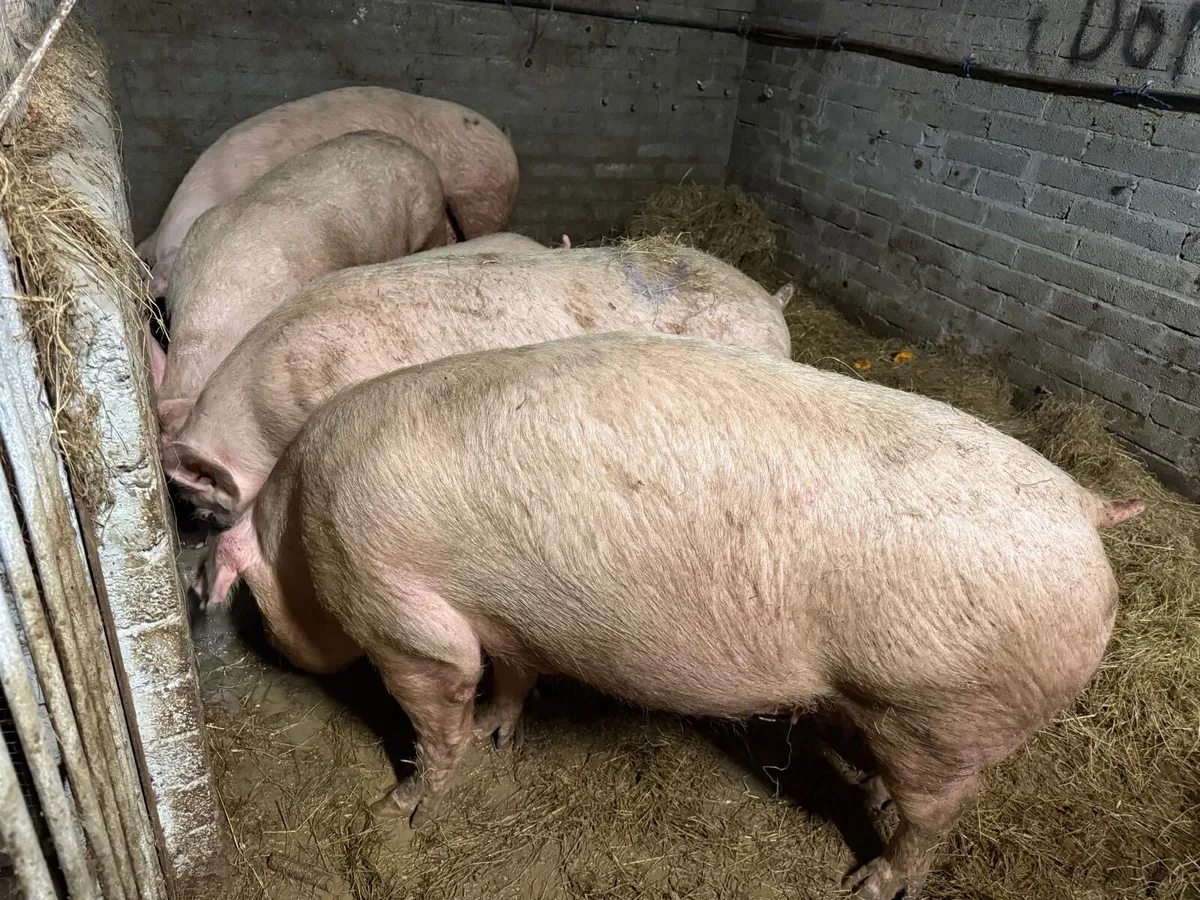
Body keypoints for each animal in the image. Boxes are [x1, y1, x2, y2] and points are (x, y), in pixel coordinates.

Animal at [195, 332, 1144, 900]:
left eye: (250, 603)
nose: (261, 639)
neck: (297, 530)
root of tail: (1085, 508)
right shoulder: (508, 619)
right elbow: (511, 675)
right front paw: (503, 735)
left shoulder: (397, 610)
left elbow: (442, 701)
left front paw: (397, 810)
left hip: (944, 704)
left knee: (936, 817)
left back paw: (866, 883)